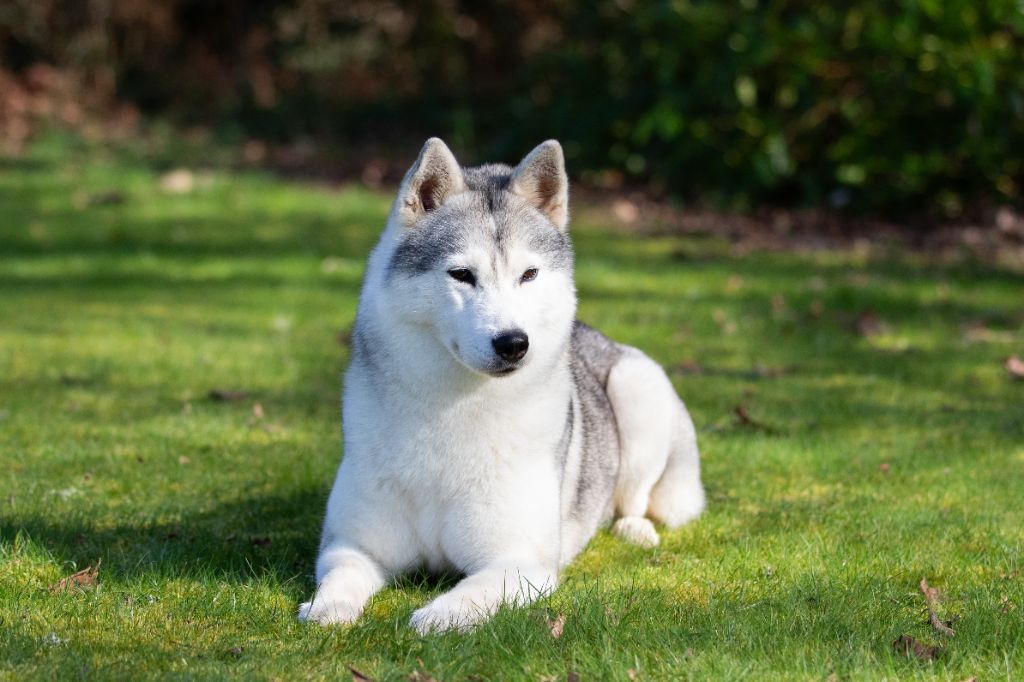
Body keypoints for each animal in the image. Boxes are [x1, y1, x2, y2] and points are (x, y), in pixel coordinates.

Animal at [298, 138, 705, 633]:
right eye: (461, 275)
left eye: (528, 275)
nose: (514, 343)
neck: (453, 411)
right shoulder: (352, 546)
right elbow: (340, 579)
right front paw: (328, 608)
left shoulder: (521, 563)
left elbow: (465, 596)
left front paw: (434, 617)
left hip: (637, 387)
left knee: (637, 498)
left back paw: (634, 528)